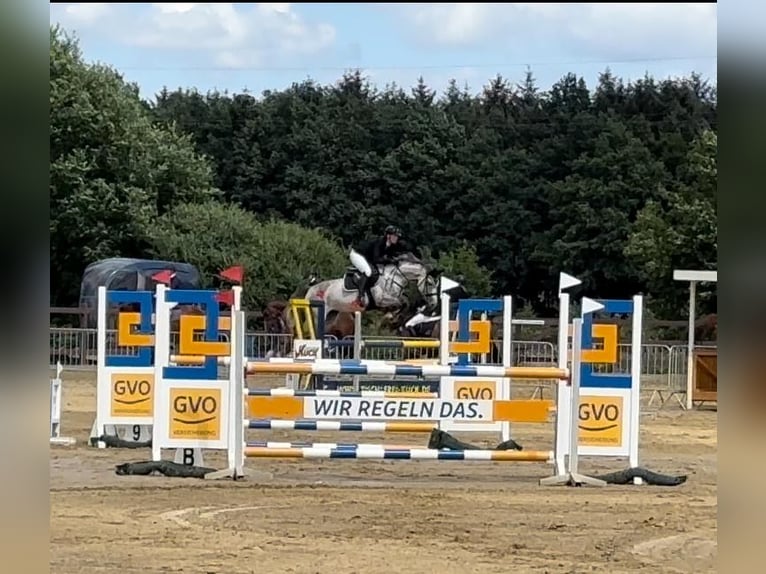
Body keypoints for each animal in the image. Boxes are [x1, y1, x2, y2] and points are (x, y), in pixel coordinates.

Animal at [302, 254, 440, 322]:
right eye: (430, 283)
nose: (434, 304)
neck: (394, 277)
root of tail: (311, 289)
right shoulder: (381, 300)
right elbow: (402, 303)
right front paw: (390, 316)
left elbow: (405, 301)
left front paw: (392, 315)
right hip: (318, 314)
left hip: (332, 315)